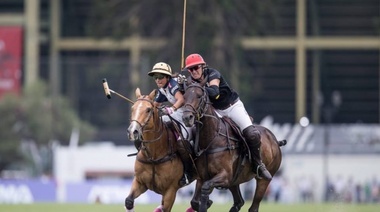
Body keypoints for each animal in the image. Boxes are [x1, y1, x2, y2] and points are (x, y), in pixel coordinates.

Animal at [181, 80, 284, 212]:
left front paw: (207, 202)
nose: (186, 118)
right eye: (184, 97)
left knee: (253, 206)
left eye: (199, 96)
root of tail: (275, 140)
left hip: (264, 179)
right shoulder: (202, 177)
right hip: (235, 181)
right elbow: (194, 202)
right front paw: (207, 202)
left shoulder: (225, 176)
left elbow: (206, 188)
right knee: (239, 202)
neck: (211, 139)